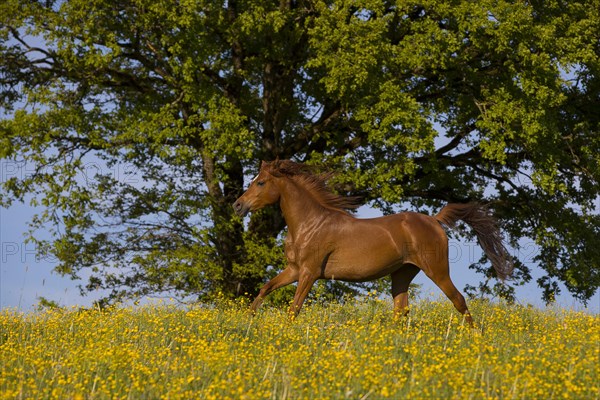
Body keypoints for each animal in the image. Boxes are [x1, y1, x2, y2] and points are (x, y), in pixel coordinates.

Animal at [232, 159, 512, 324]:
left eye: (261, 182)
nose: (237, 205)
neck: (310, 224)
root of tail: (434, 220)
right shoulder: (294, 270)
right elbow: (265, 288)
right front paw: (246, 320)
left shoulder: (309, 272)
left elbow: (294, 308)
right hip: (402, 273)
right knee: (401, 310)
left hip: (437, 270)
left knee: (459, 300)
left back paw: (475, 338)